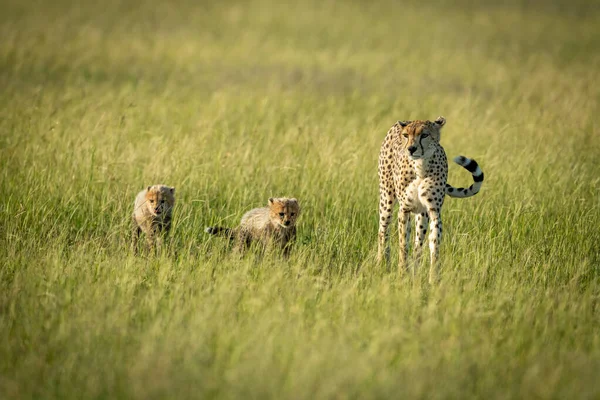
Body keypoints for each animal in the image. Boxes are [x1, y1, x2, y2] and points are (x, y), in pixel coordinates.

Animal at [378, 117, 486, 282]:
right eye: (406, 135)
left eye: (424, 135)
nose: (411, 149)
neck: (420, 166)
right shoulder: (404, 209)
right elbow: (403, 243)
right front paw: (402, 272)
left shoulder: (433, 211)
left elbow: (433, 243)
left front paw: (433, 278)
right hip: (387, 199)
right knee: (383, 230)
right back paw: (380, 263)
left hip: (422, 214)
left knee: (418, 243)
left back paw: (415, 270)